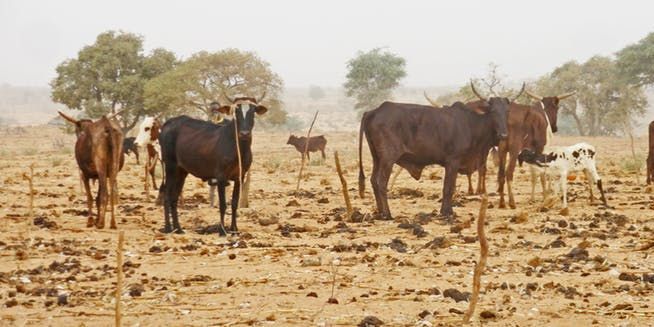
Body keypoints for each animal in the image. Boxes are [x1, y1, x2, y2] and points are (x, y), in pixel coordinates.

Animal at [158, 95, 266, 236]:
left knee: (174, 197)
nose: (244, 133)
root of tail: (167, 124)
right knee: (166, 195)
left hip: (181, 171)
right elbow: (223, 204)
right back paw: (167, 228)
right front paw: (222, 230)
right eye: (236, 112)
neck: (239, 148)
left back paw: (178, 228)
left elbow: (234, 203)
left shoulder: (240, 177)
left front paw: (234, 229)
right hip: (170, 166)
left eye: (252, 112)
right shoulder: (221, 177)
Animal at [358, 82, 516, 220]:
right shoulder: (453, 161)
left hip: (377, 158)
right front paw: (446, 212)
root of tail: (374, 111)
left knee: (373, 181)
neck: (472, 124)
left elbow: (450, 187)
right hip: (388, 159)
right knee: (381, 182)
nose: (503, 135)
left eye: (507, 112)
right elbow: (448, 188)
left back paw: (380, 212)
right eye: (493, 111)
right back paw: (387, 214)